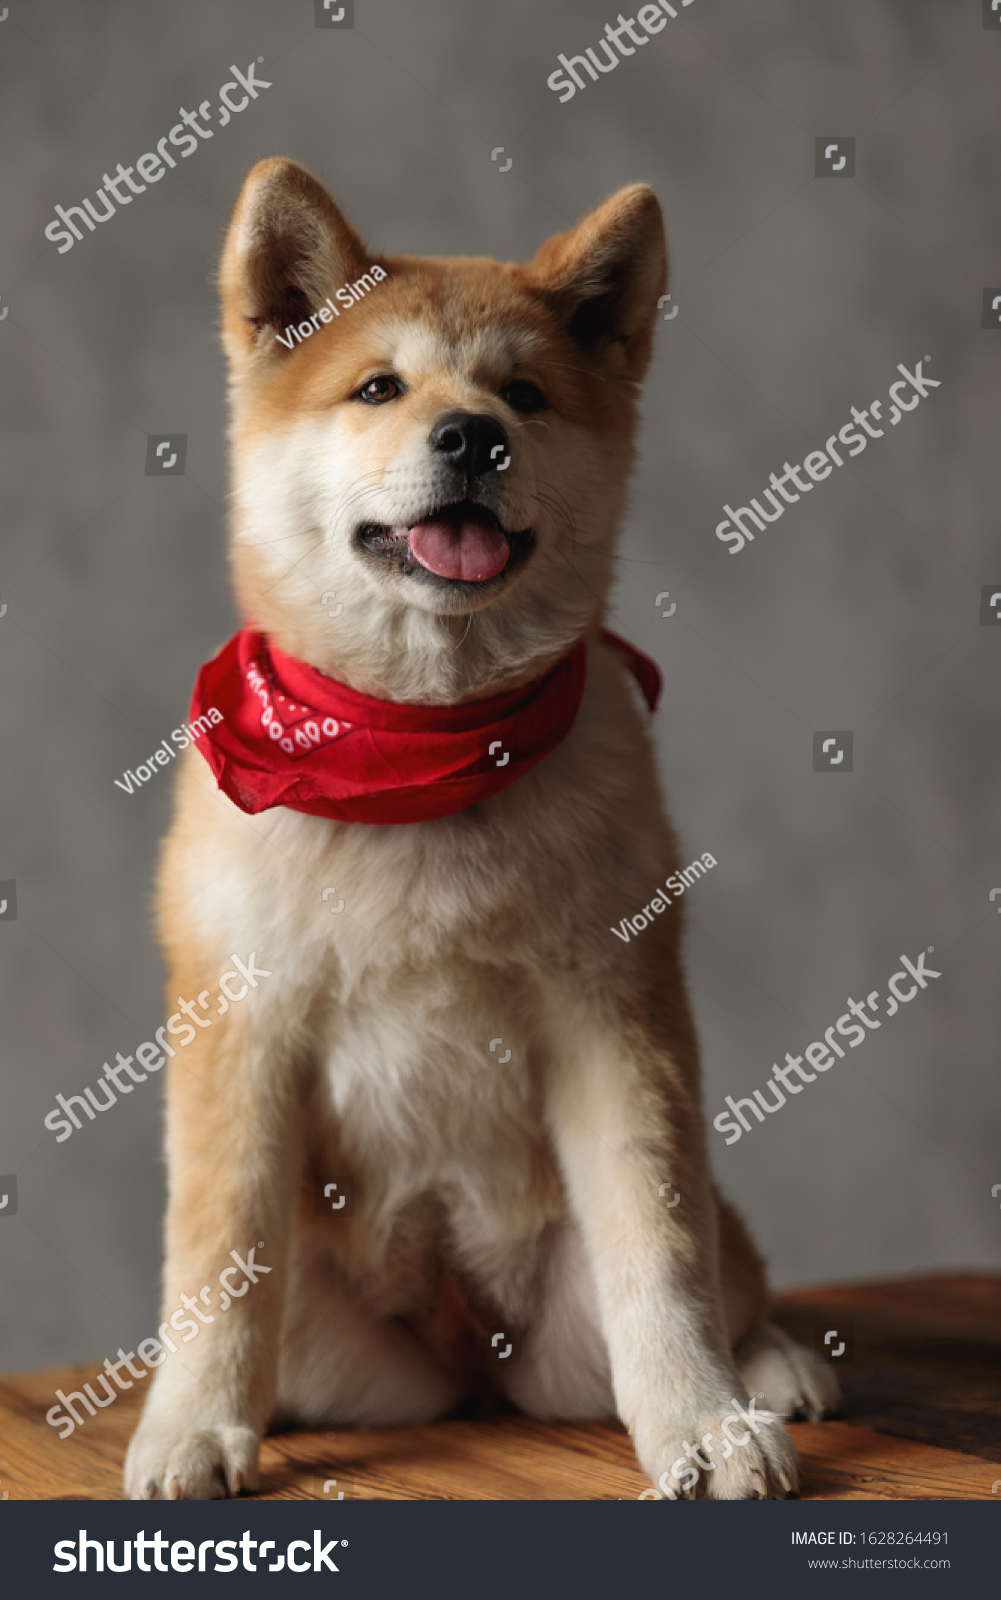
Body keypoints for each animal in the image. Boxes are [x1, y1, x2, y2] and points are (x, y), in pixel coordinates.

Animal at [120, 159, 831, 1497]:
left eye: (524, 395)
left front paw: (701, 1420)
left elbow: (660, 1242)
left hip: (570, 1344)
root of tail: (473, 1357)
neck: (420, 748)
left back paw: (769, 1368)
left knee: (727, 1271)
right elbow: (218, 1255)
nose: (470, 434)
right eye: (378, 387)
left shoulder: (616, 1015)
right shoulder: (241, 1021)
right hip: (342, 1359)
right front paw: (190, 1423)